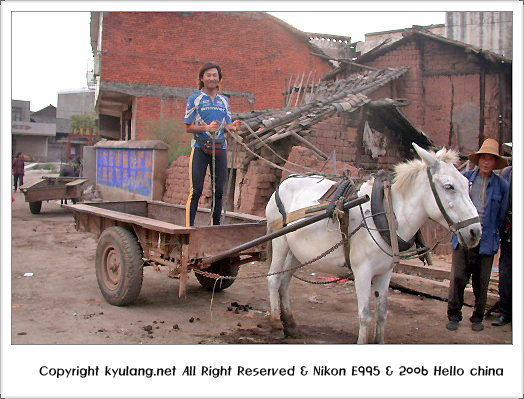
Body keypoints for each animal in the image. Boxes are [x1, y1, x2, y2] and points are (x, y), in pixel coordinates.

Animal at [266, 143, 484, 344]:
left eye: (467, 184)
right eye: (449, 187)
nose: (476, 232)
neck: (386, 214)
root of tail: (284, 182)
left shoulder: (385, 272)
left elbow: (382, 312)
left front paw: (379, 340)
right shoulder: (362, 272)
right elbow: (365, 315)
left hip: (296, 251)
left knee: (284, 281)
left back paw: (291, 324)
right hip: (280, 241)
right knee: (273, 278)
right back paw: (276, 325)